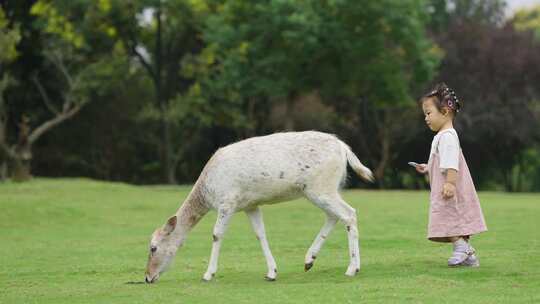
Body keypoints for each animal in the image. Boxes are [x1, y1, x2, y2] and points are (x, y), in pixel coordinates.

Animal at [144, 131, 376, 282]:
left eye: (153, 248)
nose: (147, 277)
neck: (208, 190)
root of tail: (344, 148)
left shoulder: (227, 201)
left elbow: (217, 234)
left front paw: (208, 274)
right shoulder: (250, 204)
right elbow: (260, 233)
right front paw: (271, 272)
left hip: (320, 187)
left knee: (349, 213)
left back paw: (352, 268)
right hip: (327, 188)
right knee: (334, 216)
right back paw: (309, 260)